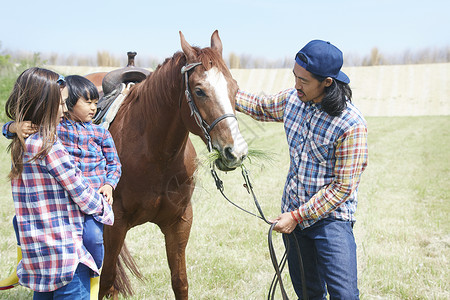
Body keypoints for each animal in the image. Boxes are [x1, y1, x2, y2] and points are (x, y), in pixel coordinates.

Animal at [89, 31, 248, 298]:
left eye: (234, 88)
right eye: (199, 91)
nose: (235, 151)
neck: (156, 156)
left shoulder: (179, 223)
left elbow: (179, 281)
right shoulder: (115, 224)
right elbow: (105, 280)